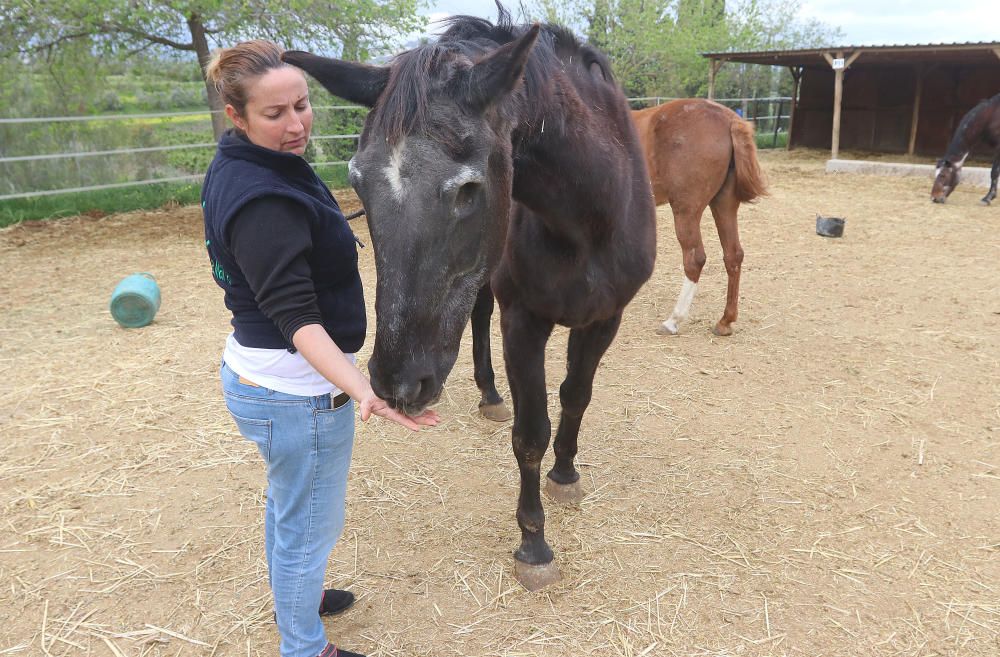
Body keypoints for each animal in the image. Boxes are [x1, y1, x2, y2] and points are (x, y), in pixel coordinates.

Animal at [282, 5, 656, 588]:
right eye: (358, 182)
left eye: (468, 189)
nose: (398, 384)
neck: (589, 219)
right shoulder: (523, 322)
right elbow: (530, 433)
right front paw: (534, 544)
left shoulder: (605, 318)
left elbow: (575, 397)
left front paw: (566, 473)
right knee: (479, 316)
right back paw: (490, 394)